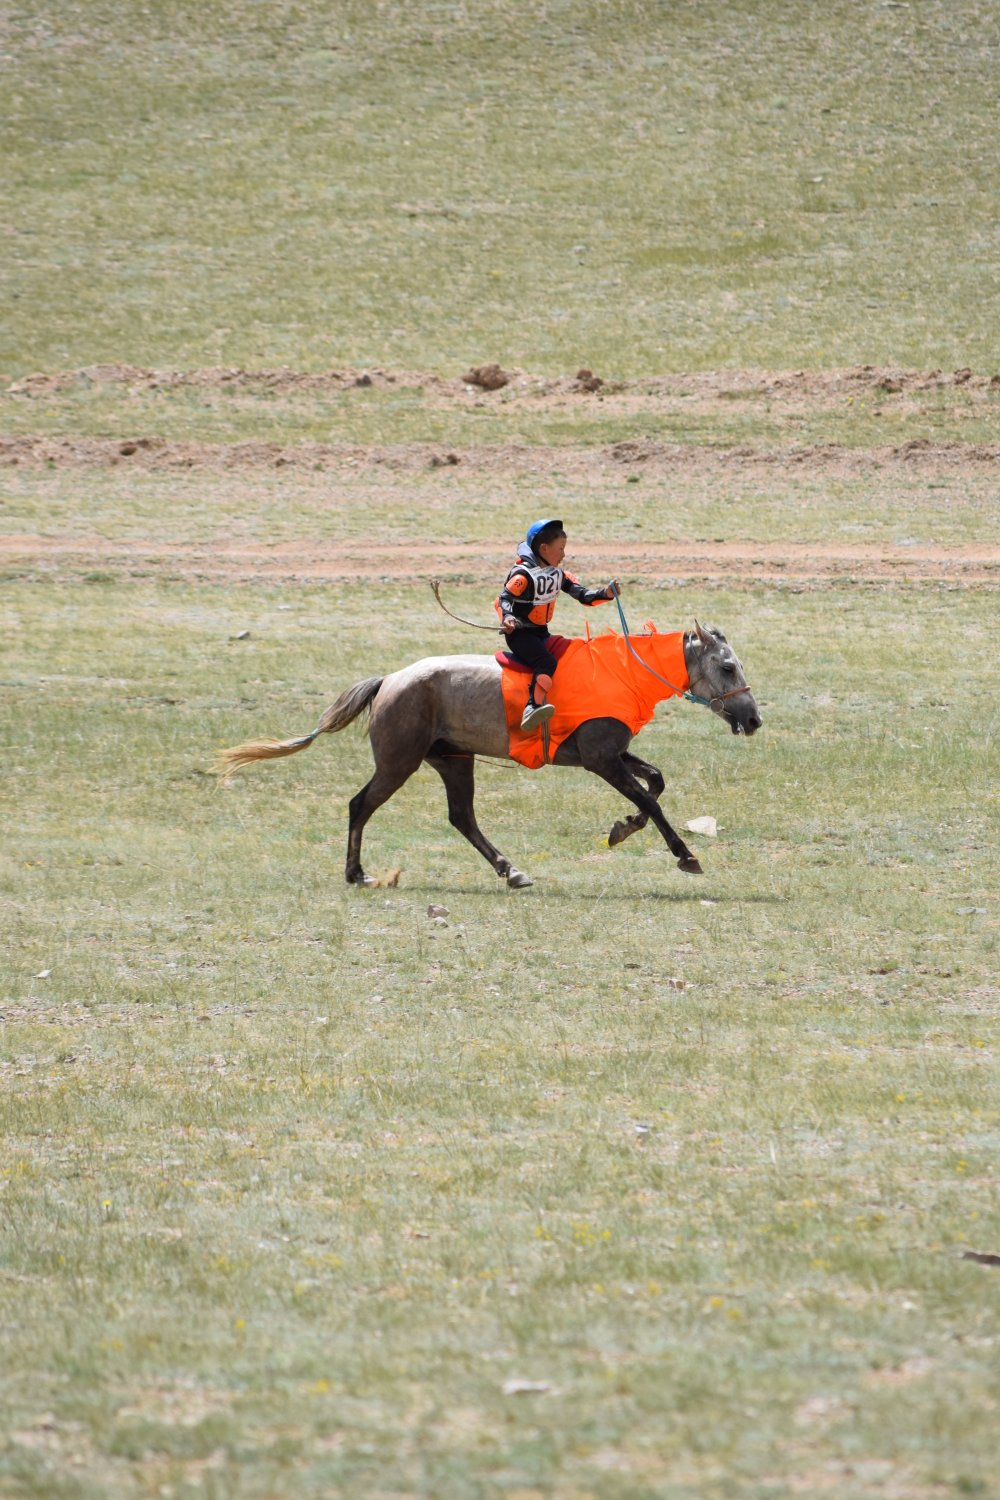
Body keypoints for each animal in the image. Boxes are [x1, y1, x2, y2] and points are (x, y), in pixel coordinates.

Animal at [216, 621, 761, 889]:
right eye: (727, 667)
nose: (754, 719)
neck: (619, 672)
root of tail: (388, 681)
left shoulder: (611, 754)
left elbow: (656, 782)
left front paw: (623, 827)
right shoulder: (600, 760)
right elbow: (650, 798)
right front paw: (684, 854)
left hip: (453, 762)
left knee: (461, 817)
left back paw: (511, 870)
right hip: (398, 763)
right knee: (360, 805)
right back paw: (356, 873)